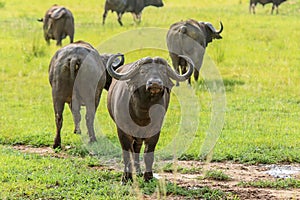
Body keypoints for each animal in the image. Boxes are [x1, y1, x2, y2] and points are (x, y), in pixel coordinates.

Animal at [106, 54, 193, 184]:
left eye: (163, 71)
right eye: (143, 71)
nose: (155, 83)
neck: (143, 112)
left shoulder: (155, 130)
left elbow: (148, 154)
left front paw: (148, 177)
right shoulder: (122, 131)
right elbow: (126, 154)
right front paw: (126, 178)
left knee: (137, 148)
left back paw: (137, 170)